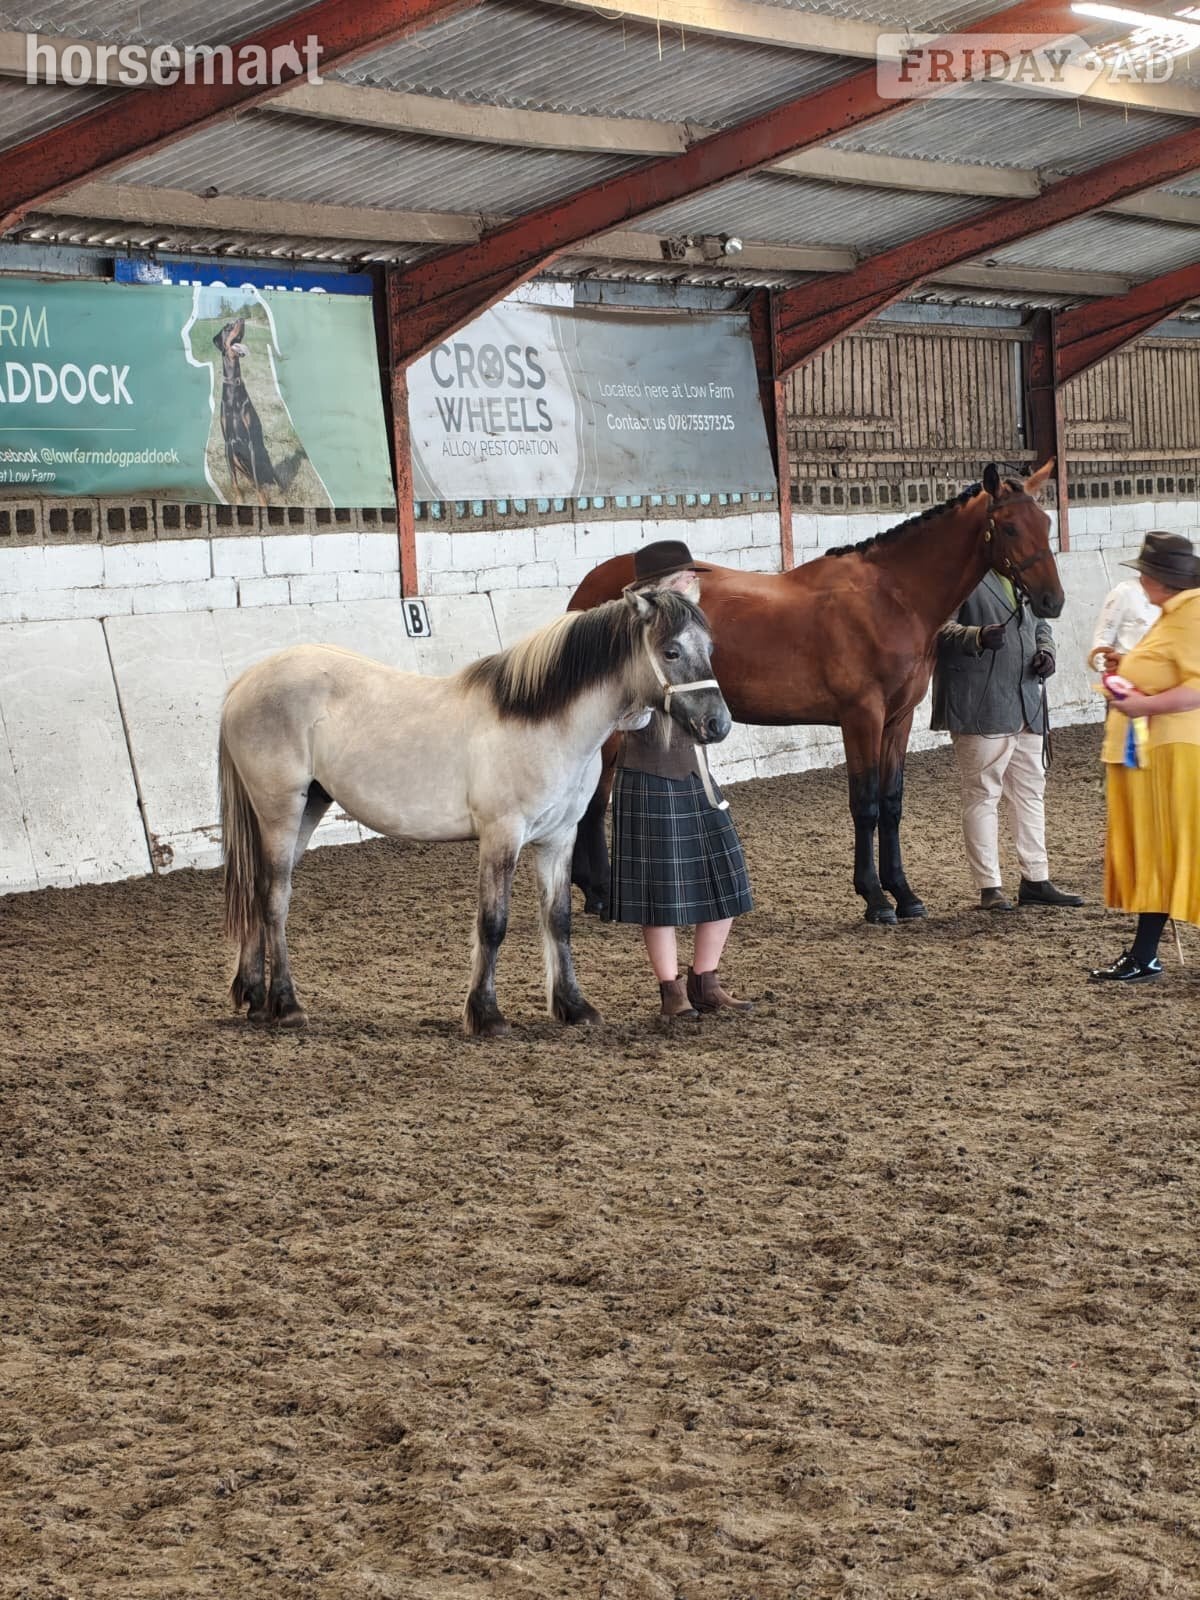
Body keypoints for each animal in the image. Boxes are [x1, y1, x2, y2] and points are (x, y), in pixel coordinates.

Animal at [217, 588, 731, 1037]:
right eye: (670, 651)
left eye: (709, 647)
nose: (718, 724)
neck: (543, 722)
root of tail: (246, 682)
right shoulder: (502, 836)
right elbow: (493, 923)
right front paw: (486, 1015)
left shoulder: (558, 838)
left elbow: (558, 919)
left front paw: (574, 1006)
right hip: (281, 810)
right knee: (274, 897)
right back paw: (285, 1004)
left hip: (309, 806)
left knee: (260, 890)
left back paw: (254, 998)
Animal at [568, 461, 1063, 926]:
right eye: (1011, 527)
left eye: (1046, 523)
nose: (1052, 601)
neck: (891, 598)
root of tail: (590, 585)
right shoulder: (861, 716)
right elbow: (865, 804)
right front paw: (875, 899)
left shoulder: (898, 720)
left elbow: (891, 803)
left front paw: (905, 895)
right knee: (591, 803)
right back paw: (599, 894)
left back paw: (595, 891)